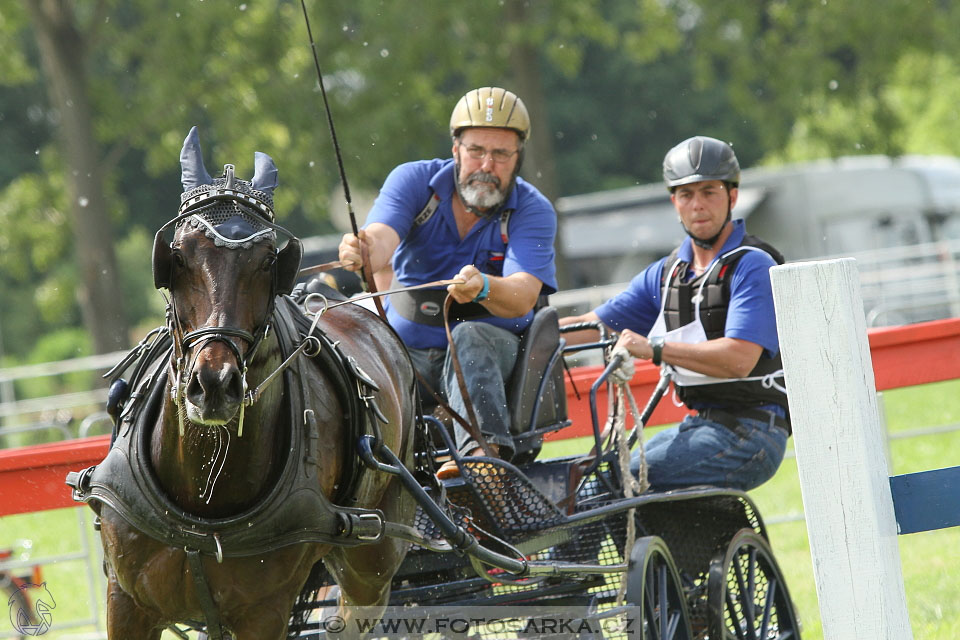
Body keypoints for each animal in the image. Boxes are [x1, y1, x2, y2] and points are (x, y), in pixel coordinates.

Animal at [73, 127, 418, 636]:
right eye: (179, 256)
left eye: (267, 260)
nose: (214, 383)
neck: (202, 500)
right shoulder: (126, 600)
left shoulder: (264, 612)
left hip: (373, 563)